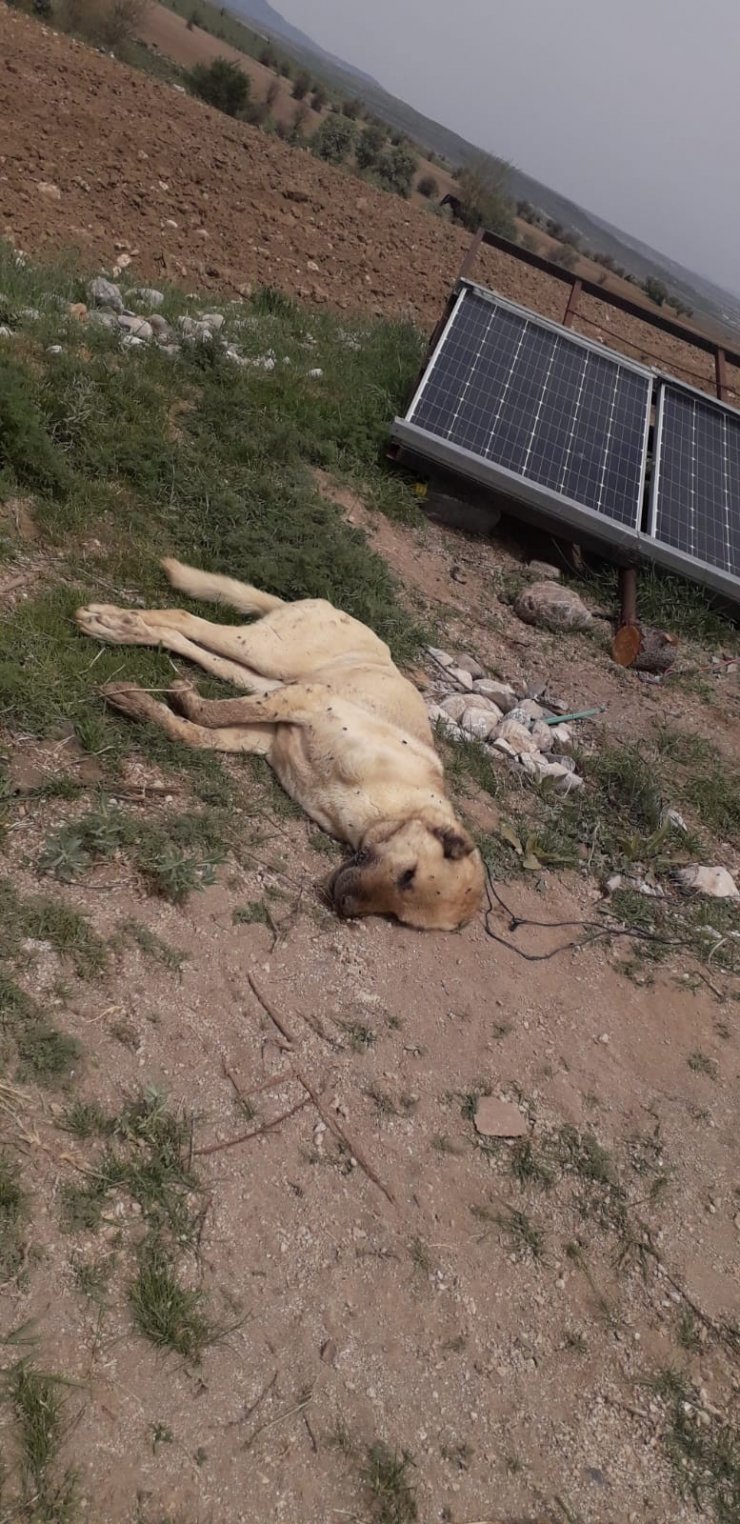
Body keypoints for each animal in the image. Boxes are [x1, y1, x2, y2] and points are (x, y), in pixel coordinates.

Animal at [76, 560, 484, 926]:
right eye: (408, 875)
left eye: (398, 916)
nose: (344, 908)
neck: (393, 810)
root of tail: (335, 608)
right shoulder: (310, 700)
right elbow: (212, 714)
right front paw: (181, 698)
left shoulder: (267, 734)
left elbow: (197, 730)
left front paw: (144, 704)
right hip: (271, 656)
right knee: (186, 618)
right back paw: (112, 621)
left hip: (263, 676)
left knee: (196, 648)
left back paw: (123, 629)